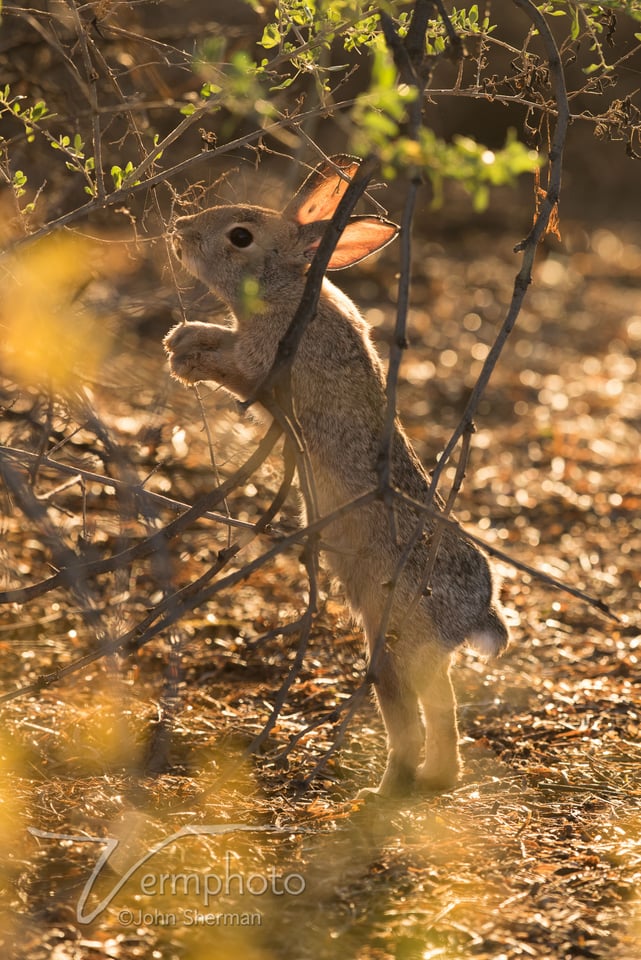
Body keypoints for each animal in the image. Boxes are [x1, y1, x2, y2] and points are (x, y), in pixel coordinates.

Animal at [164, 156, 510, 796]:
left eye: (240, 236)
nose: (181, 230)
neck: (287, 289)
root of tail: (479, 613)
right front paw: (182, 340)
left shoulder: (265, 365)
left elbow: (234, 368)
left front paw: (187, 359)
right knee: (440, 706)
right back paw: (432, 780)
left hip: (396, 645)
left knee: (417, 712)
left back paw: (393, 786)